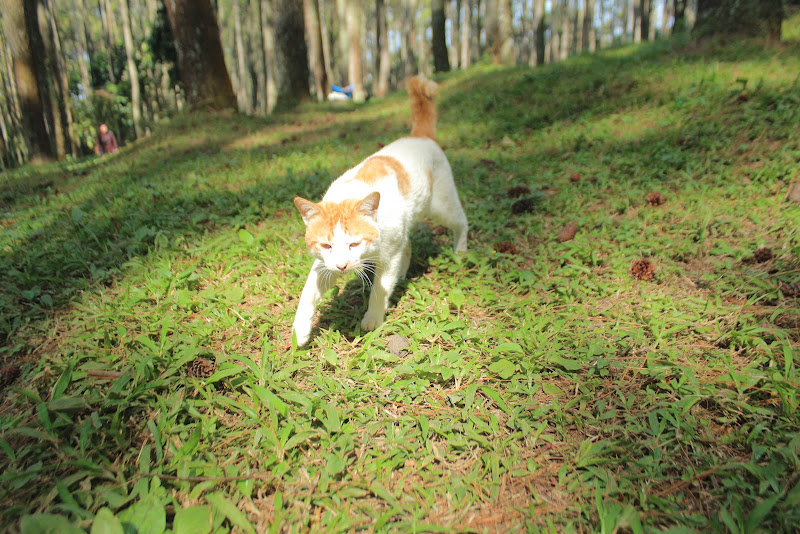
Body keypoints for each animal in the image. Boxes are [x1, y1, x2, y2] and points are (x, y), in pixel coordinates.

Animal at [294, 78, 468, 348]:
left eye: (354, 244)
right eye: (326, 245)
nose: (343, 266)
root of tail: (419, 136)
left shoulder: (388, 258)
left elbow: (379, 289)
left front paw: (373, 318)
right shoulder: (324, 264)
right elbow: (308, 292)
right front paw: (300, 329)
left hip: (442, 206)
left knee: (461, 221)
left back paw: (460, 251)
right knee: (408, 245)